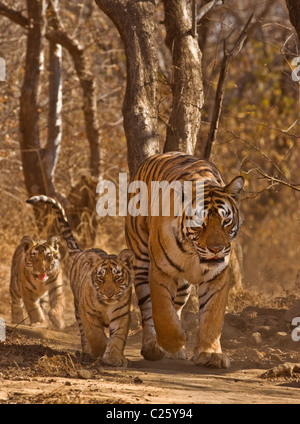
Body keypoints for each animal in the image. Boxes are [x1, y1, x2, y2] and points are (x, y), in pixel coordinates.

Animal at [27, 196, 135, 368]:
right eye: (101, 278)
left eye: (117, 278)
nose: (109, 295)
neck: (107, 305)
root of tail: (82, 252)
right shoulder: (87, 314)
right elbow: (95, 335)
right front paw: (100, 351)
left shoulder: (122, 314)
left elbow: (118, 338)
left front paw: (114, 358)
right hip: (78, 309)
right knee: (84, 334)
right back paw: (87, 351)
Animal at [124, 152, 244, 368]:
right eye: (200, 222)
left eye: (226, 221)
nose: (216, 249)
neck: (192, 254)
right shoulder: (161, 271)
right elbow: (162, 312)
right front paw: (176, 340)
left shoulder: (217, 276)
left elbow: (212, 316)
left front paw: (210, 354)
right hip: (141, 260)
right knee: (147, 308)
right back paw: (153, 347)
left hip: (183, 286)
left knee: (177, 305)